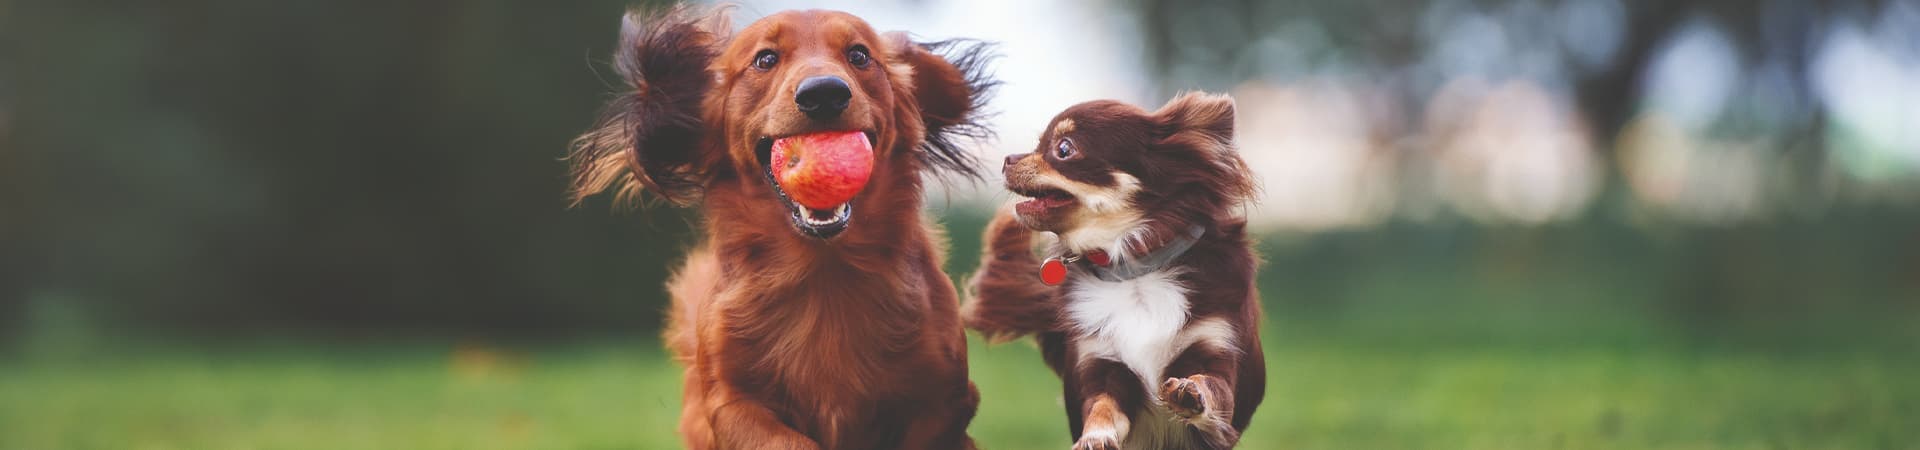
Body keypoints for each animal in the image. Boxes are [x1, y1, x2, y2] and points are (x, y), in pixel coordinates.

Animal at [564, 7, 998, 450]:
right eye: (766, 59)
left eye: (859, 55)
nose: (824, 93)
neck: (825, 273)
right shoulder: (730, 402)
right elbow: (785, 438)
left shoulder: (945, 402)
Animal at [967, 92, 1267, 450]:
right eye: (1038, 143)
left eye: (1064, 148)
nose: (1008, 158)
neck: (1133, 271)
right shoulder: (1102, 367)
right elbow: (1101, 408)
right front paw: (1095, 436)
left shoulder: (1215, 358)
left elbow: (1210, 386)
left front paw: (1189, 393)